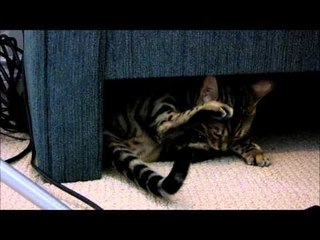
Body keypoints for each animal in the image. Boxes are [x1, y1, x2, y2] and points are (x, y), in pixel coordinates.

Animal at [104, 76, 274, 198]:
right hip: (159, 102)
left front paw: (255, 152)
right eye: (216, 133)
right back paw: (213, 107)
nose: (222, 149)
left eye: (237, 135)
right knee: (164, 127)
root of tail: (108, 127)